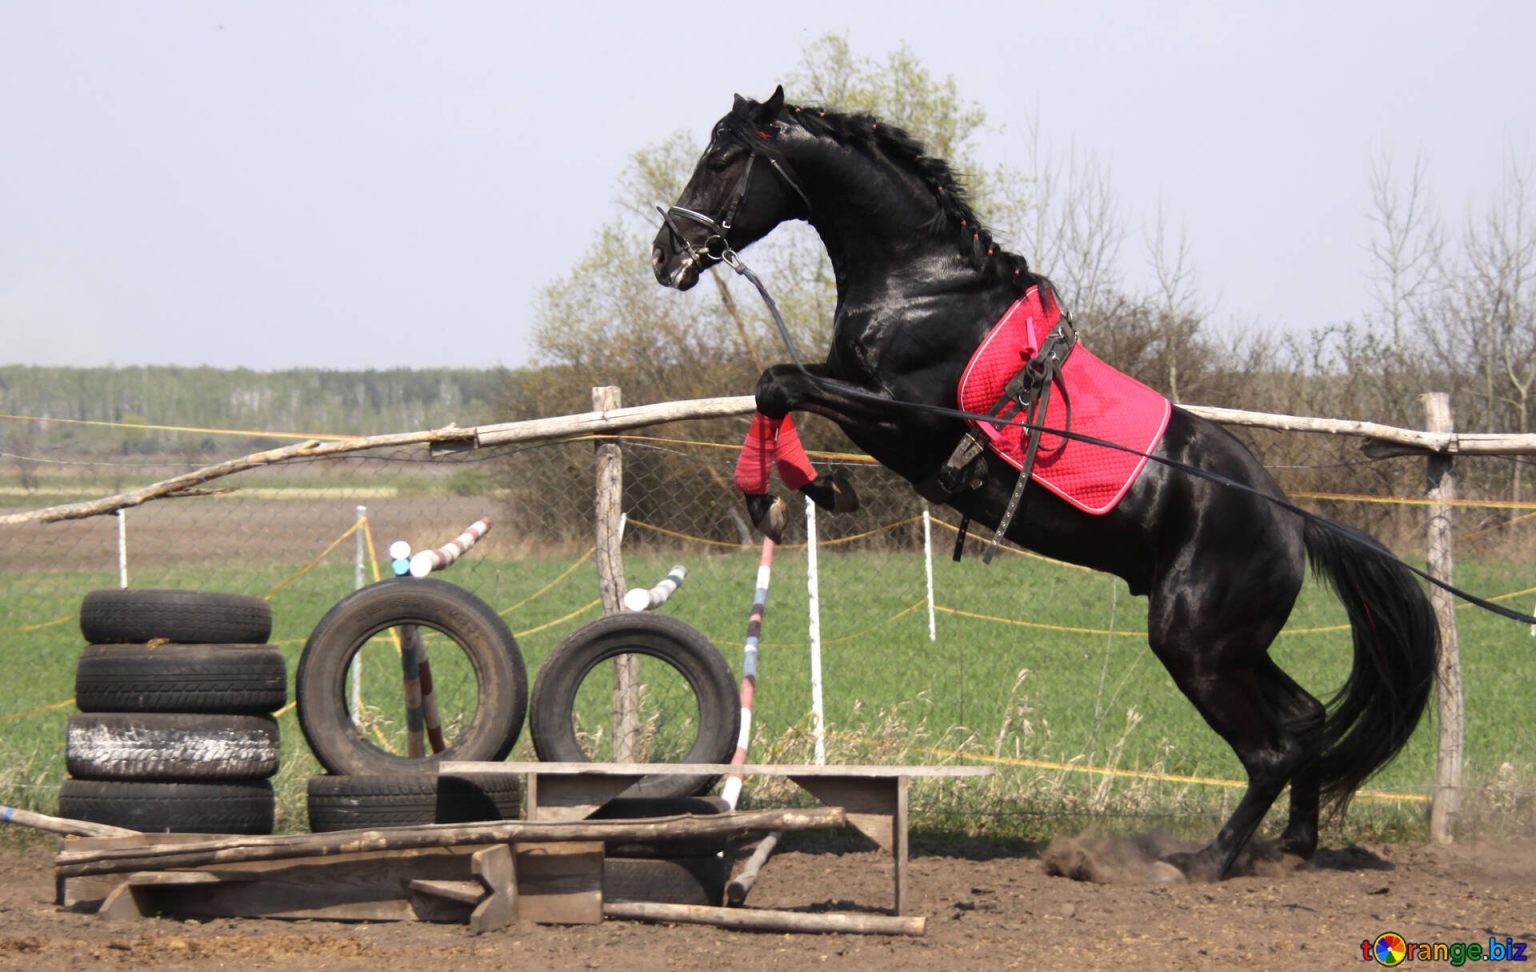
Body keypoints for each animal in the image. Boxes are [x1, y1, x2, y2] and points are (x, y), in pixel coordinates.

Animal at [648, 89, 1437, 878]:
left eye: (722, 159)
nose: (665, 254)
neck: (921, 287)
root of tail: (1293, 519)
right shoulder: (852, 383)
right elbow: (774, 384)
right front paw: (795, 490)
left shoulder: (907, 421)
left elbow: (779, 384)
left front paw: (799, 492)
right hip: (1234, 643)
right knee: (1305, 721)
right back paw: (1294, 845)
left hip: (1196, 643)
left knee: (1269, 750)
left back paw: (1202, 861)